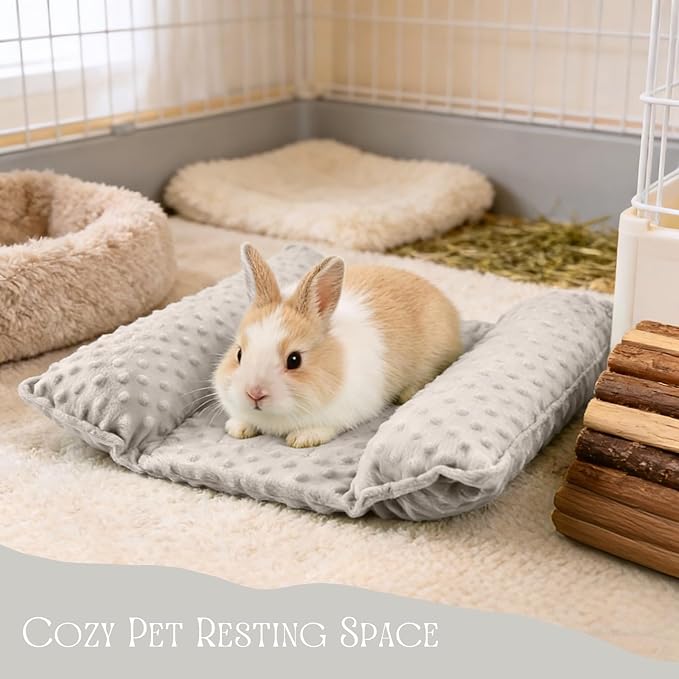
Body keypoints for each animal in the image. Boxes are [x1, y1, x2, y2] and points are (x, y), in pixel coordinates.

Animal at [213, 243, 462, 448]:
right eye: (239, 354)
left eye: (294, 360)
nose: (254, 393)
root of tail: (448, 305)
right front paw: (238, 428)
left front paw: (302, 438)